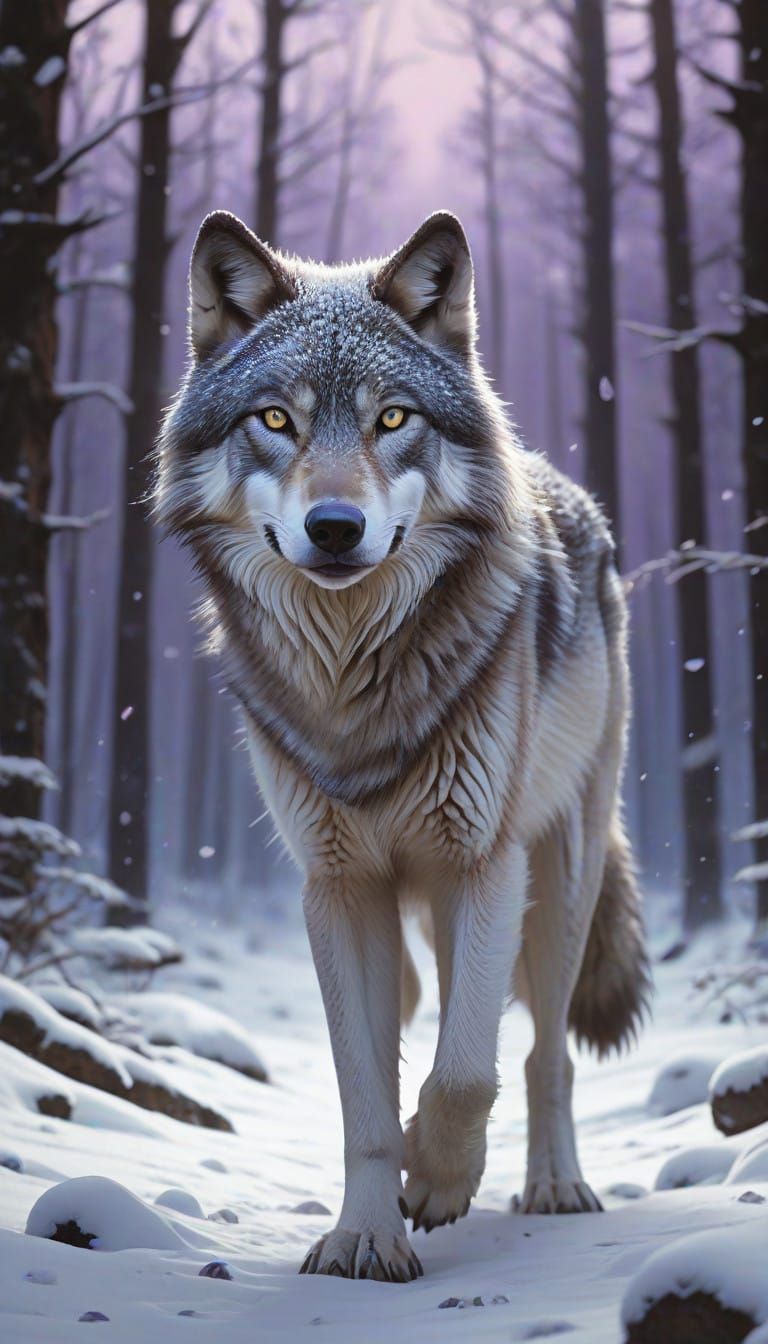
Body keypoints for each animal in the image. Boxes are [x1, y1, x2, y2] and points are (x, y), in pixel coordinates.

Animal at [156, 209, 650, 1282]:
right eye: (276, 421)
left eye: (392, 421)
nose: (336, 528)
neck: (358, 683)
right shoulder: (338, 887)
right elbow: (366, 1098)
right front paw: (366, 1236)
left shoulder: (485, 864)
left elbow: (466, 1073)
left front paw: (436, 1178)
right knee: (436, 1000)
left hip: (561, 879)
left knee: (543, 1049)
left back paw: (554, 1185)